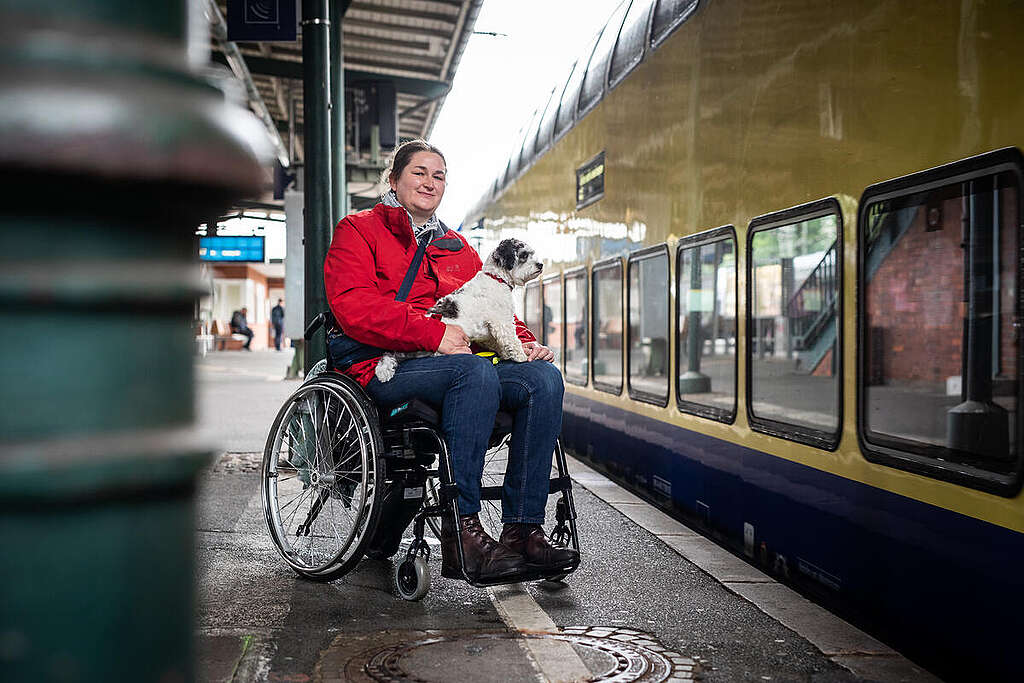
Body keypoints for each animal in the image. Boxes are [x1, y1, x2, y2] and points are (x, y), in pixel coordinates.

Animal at [376, 237, 548, 382]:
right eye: (524, 255)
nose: (540, 265)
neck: (496, 279)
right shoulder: (501, 321)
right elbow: (511, 340)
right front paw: (520, 356)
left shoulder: (489, 330)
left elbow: (499, 342)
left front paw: (506, 354)